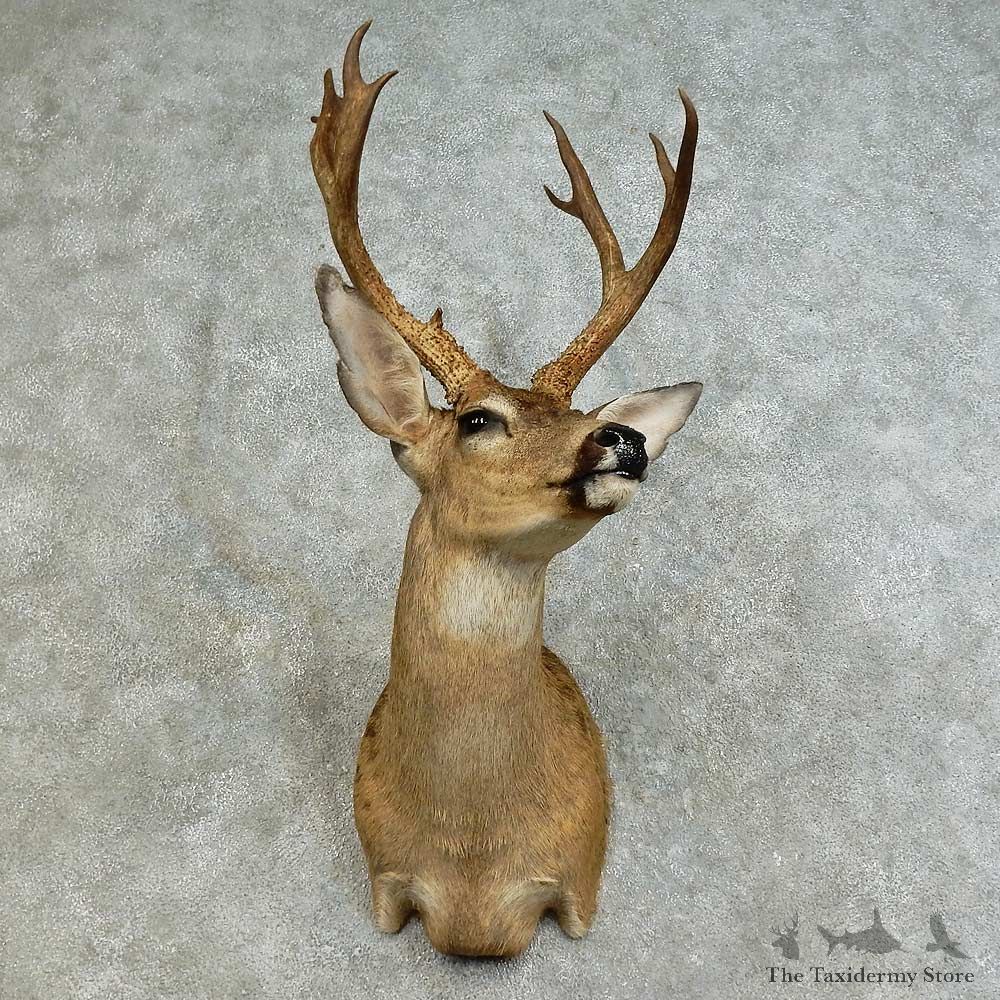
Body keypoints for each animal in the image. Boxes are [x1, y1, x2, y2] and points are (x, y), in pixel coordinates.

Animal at [309, 21, 702, 958]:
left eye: (588, 411)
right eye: (477, 419)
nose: (626, 438)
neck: (476, 862)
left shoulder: (581, 886)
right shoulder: (384, 884)